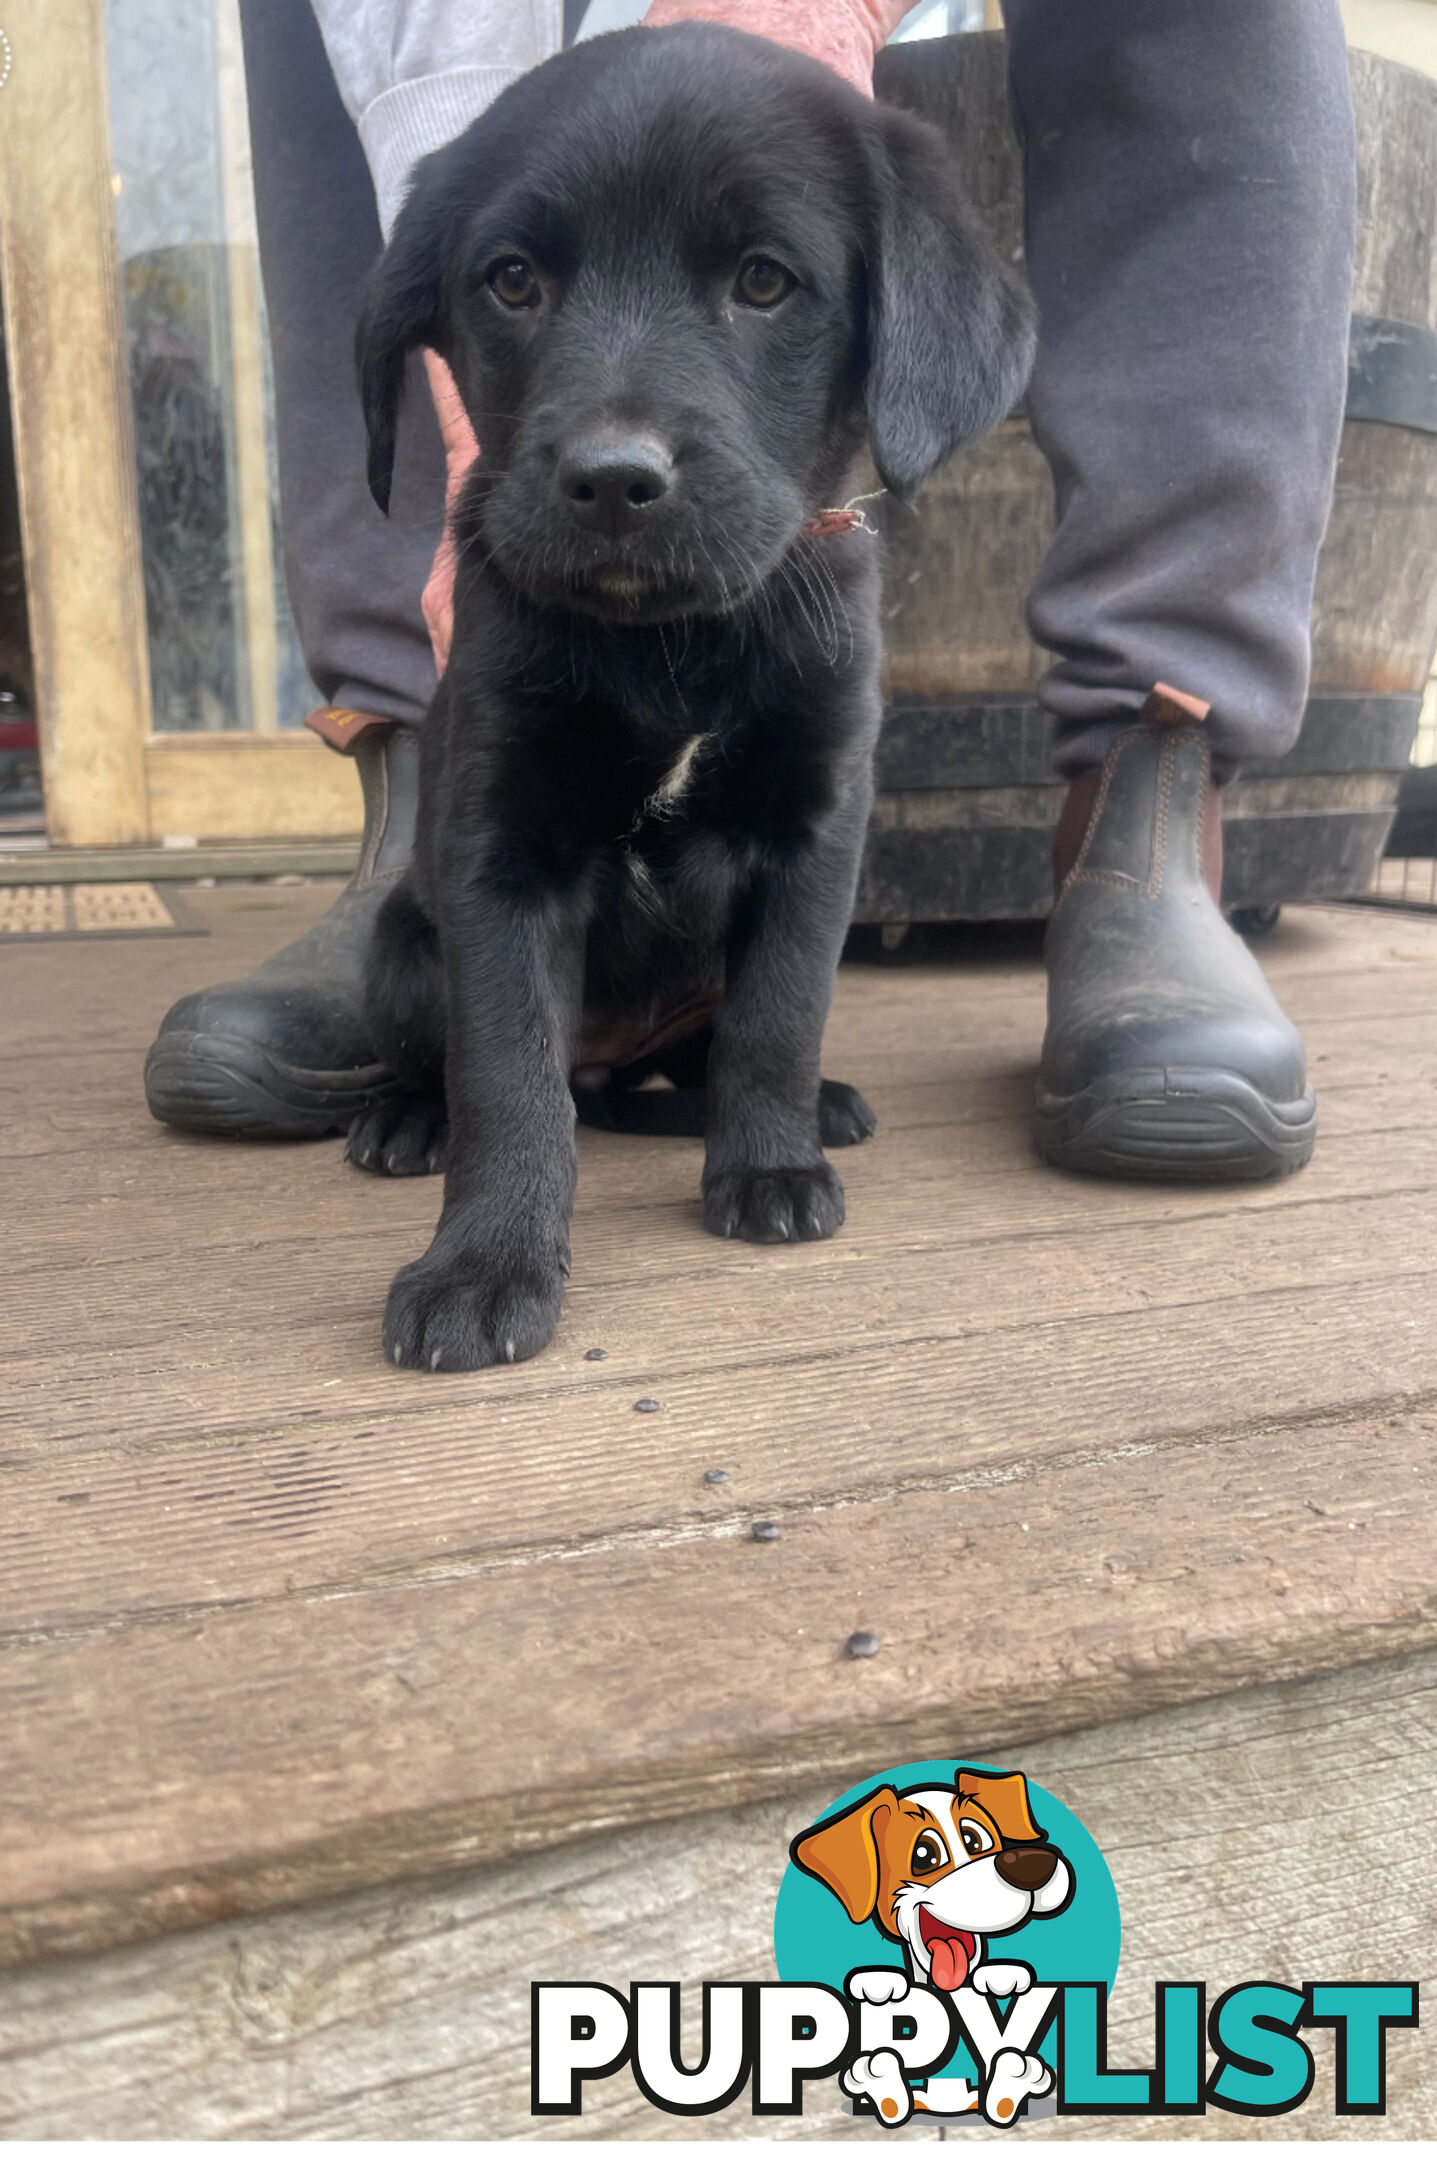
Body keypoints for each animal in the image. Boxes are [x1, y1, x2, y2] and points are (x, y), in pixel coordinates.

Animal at [352, 25, 1024, 1365]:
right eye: (513, 281)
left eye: (764, 282)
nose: (613, 481)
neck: (672, 642)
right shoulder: (501, 854)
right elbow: (507, 1072)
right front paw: (484, 1262)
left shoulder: (814, 831)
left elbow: (779, 1018)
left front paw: (767, 1166)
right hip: (401, 949)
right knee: (509, 1077)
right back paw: (408, 1120)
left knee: (687, 1069)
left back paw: (803, 1109)